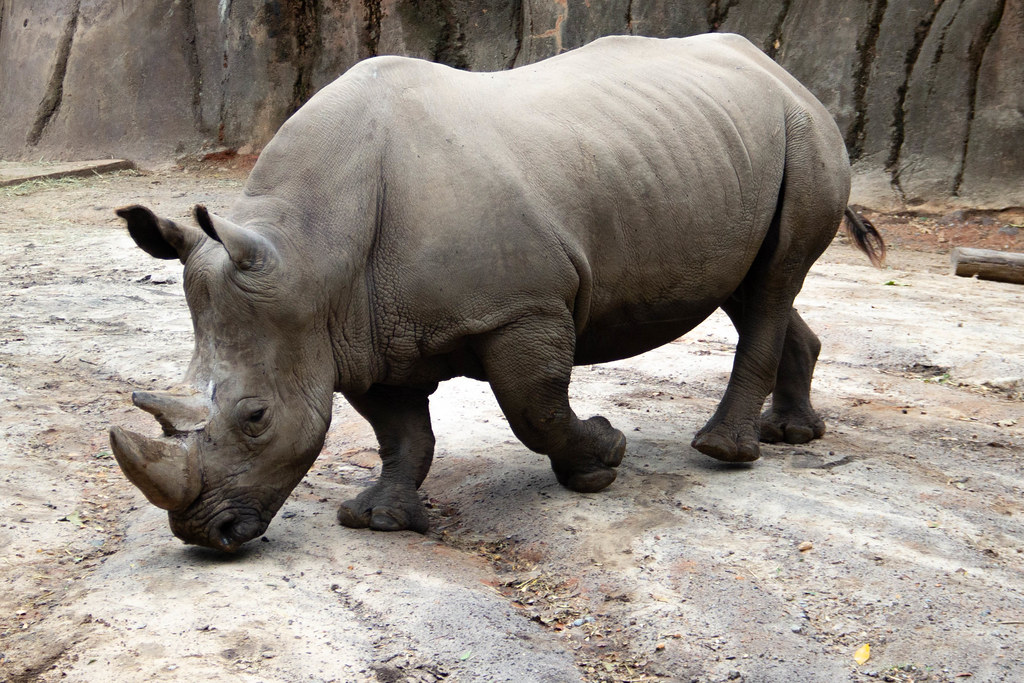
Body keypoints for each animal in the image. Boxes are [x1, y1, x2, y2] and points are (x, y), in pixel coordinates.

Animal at [110, 33, 883, 552]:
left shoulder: (521, 308)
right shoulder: (359, 331)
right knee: (753, 286)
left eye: (256, 417)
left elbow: (533, 406)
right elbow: (401, 432)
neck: (310, 246)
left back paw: (723, 452)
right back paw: (791, 434)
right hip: (715, 150)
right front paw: (379, 519)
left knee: (773, 280)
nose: (205, 534)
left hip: (802, 131)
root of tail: (780, 70)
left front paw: (601, 459)